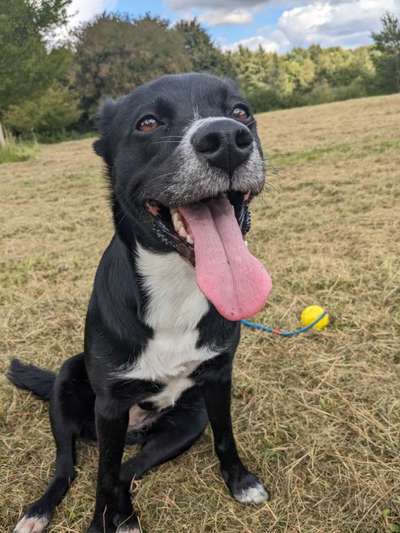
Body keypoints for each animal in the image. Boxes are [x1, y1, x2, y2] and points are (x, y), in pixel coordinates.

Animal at [8, 74, 272, 532]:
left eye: (240, 111)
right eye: (147, 122)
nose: (226, 139)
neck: (176, 283)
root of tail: (136, 430)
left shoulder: (219, 377)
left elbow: (225, 436)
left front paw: (240, 481)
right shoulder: (111, 405)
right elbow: (101, 477)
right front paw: (98, 524)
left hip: (186, 421)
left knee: (127, 469)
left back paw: (127, 516)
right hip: (69, 384)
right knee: (71, 467)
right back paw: (41, 511)